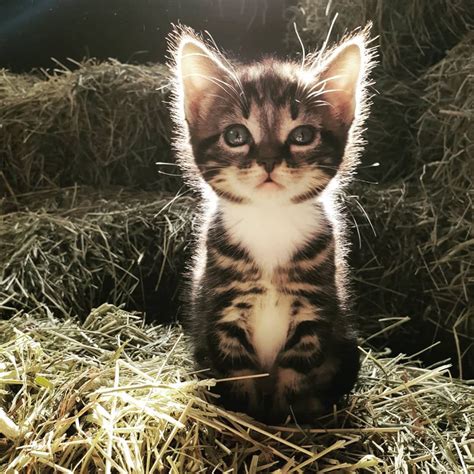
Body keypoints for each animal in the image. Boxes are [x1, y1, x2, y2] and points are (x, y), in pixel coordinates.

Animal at [170, 25, 374, 424]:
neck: (269, 220)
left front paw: (286, 421)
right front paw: (245, 421)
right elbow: (239, 375)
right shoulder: (222, 309)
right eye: (236, 135)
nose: (267, 161)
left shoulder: (315, 308)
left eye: (302, 136)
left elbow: (295, 373)